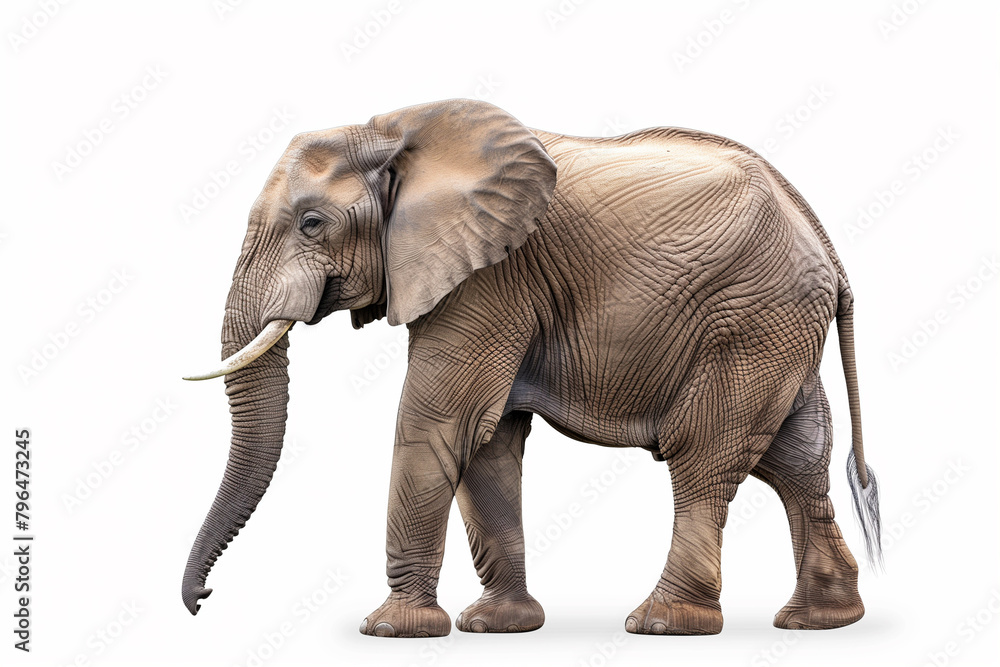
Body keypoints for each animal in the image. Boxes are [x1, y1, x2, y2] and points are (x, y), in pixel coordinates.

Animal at [182, 98, 884, 636]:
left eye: (311, 223)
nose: (202, 601)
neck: (390, 128)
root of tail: (827, 242)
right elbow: (490, 439)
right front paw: (497, 627)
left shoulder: (491, 277)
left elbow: (438, 421)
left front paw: (391, 631)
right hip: (778, 325)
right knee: (796, 458)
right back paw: (820, 621)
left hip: (751, 318)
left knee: (704, 453)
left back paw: (662, 624)